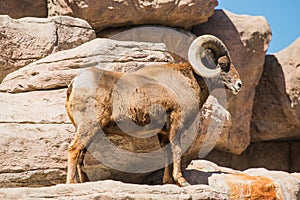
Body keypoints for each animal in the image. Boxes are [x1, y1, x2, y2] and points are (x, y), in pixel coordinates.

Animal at [65, 34, 241, 186]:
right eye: (223, 64)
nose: (239, 85)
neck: (188, 81)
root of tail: (75, 84)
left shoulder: (163, 134)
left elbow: (167, 154)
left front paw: (168, 182)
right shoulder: (176, 124)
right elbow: (176, 150)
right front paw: (182, 182)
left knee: (81, 155)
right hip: (89, 127)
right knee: (73, 150)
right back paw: (72, 183)